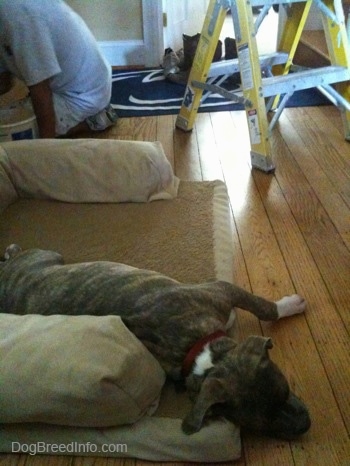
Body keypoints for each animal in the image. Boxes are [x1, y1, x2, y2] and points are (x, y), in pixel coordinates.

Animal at [1, 246, 310, 438]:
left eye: (286, 392)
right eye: (261, 423)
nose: (307, 426)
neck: (197, 349)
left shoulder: (224, 292)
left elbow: (261, 306)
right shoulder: (221, 290)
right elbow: (264, 307)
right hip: (46, 255)